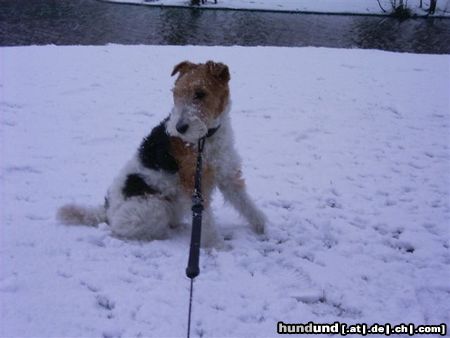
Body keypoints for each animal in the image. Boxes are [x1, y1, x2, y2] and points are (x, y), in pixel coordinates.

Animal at [57, 60, 268, 247]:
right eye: (176, 93)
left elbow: (246, 205)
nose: (179, 128)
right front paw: (218, 246)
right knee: (124, 229)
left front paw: (263, 227)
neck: (204, 139)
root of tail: (107, 211)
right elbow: (207, 221)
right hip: (155, 206)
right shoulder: (193, 185)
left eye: (200, 93)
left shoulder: (228, 175)